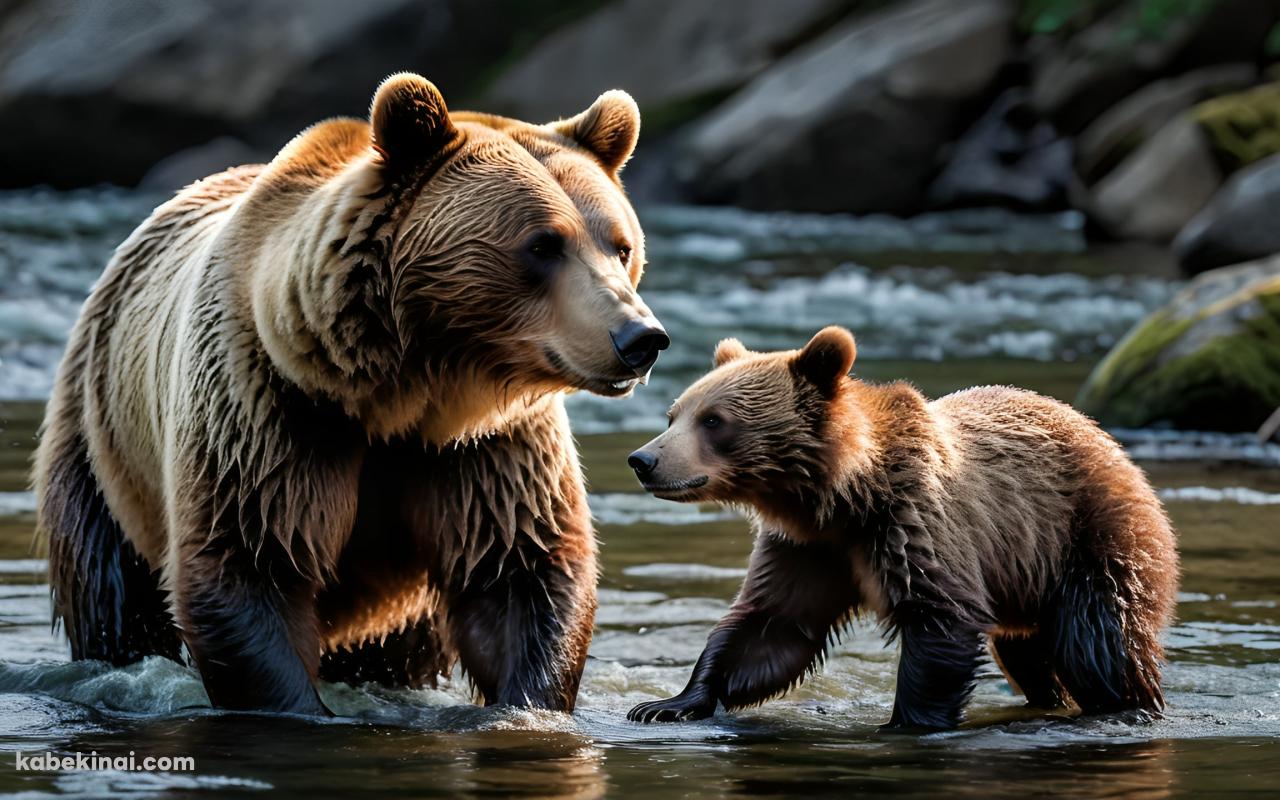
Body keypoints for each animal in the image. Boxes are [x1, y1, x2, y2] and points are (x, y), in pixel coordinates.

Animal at [33, 73, 665, 711]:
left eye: (620, 245)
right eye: (542, 245)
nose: (641, 337)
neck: (401, 393)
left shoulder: (487, 448)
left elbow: (517, 569)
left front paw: (526, 701)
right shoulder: (270, 409)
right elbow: (250, 559)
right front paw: (295, 705)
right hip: (101, 436)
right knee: (111, 588)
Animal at [624, 326, 1172, 732]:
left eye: (714, 420)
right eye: (674, 414)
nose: (643, 460)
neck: (845, 496)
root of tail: (1114, 446)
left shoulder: (915, 525)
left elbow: (941, 621)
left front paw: (904, 723)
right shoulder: (808, 549)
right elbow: (772, 625)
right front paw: (666, 703)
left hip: (1088, 535)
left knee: (1098, 641)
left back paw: (1126, 703)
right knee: (1029, 655)